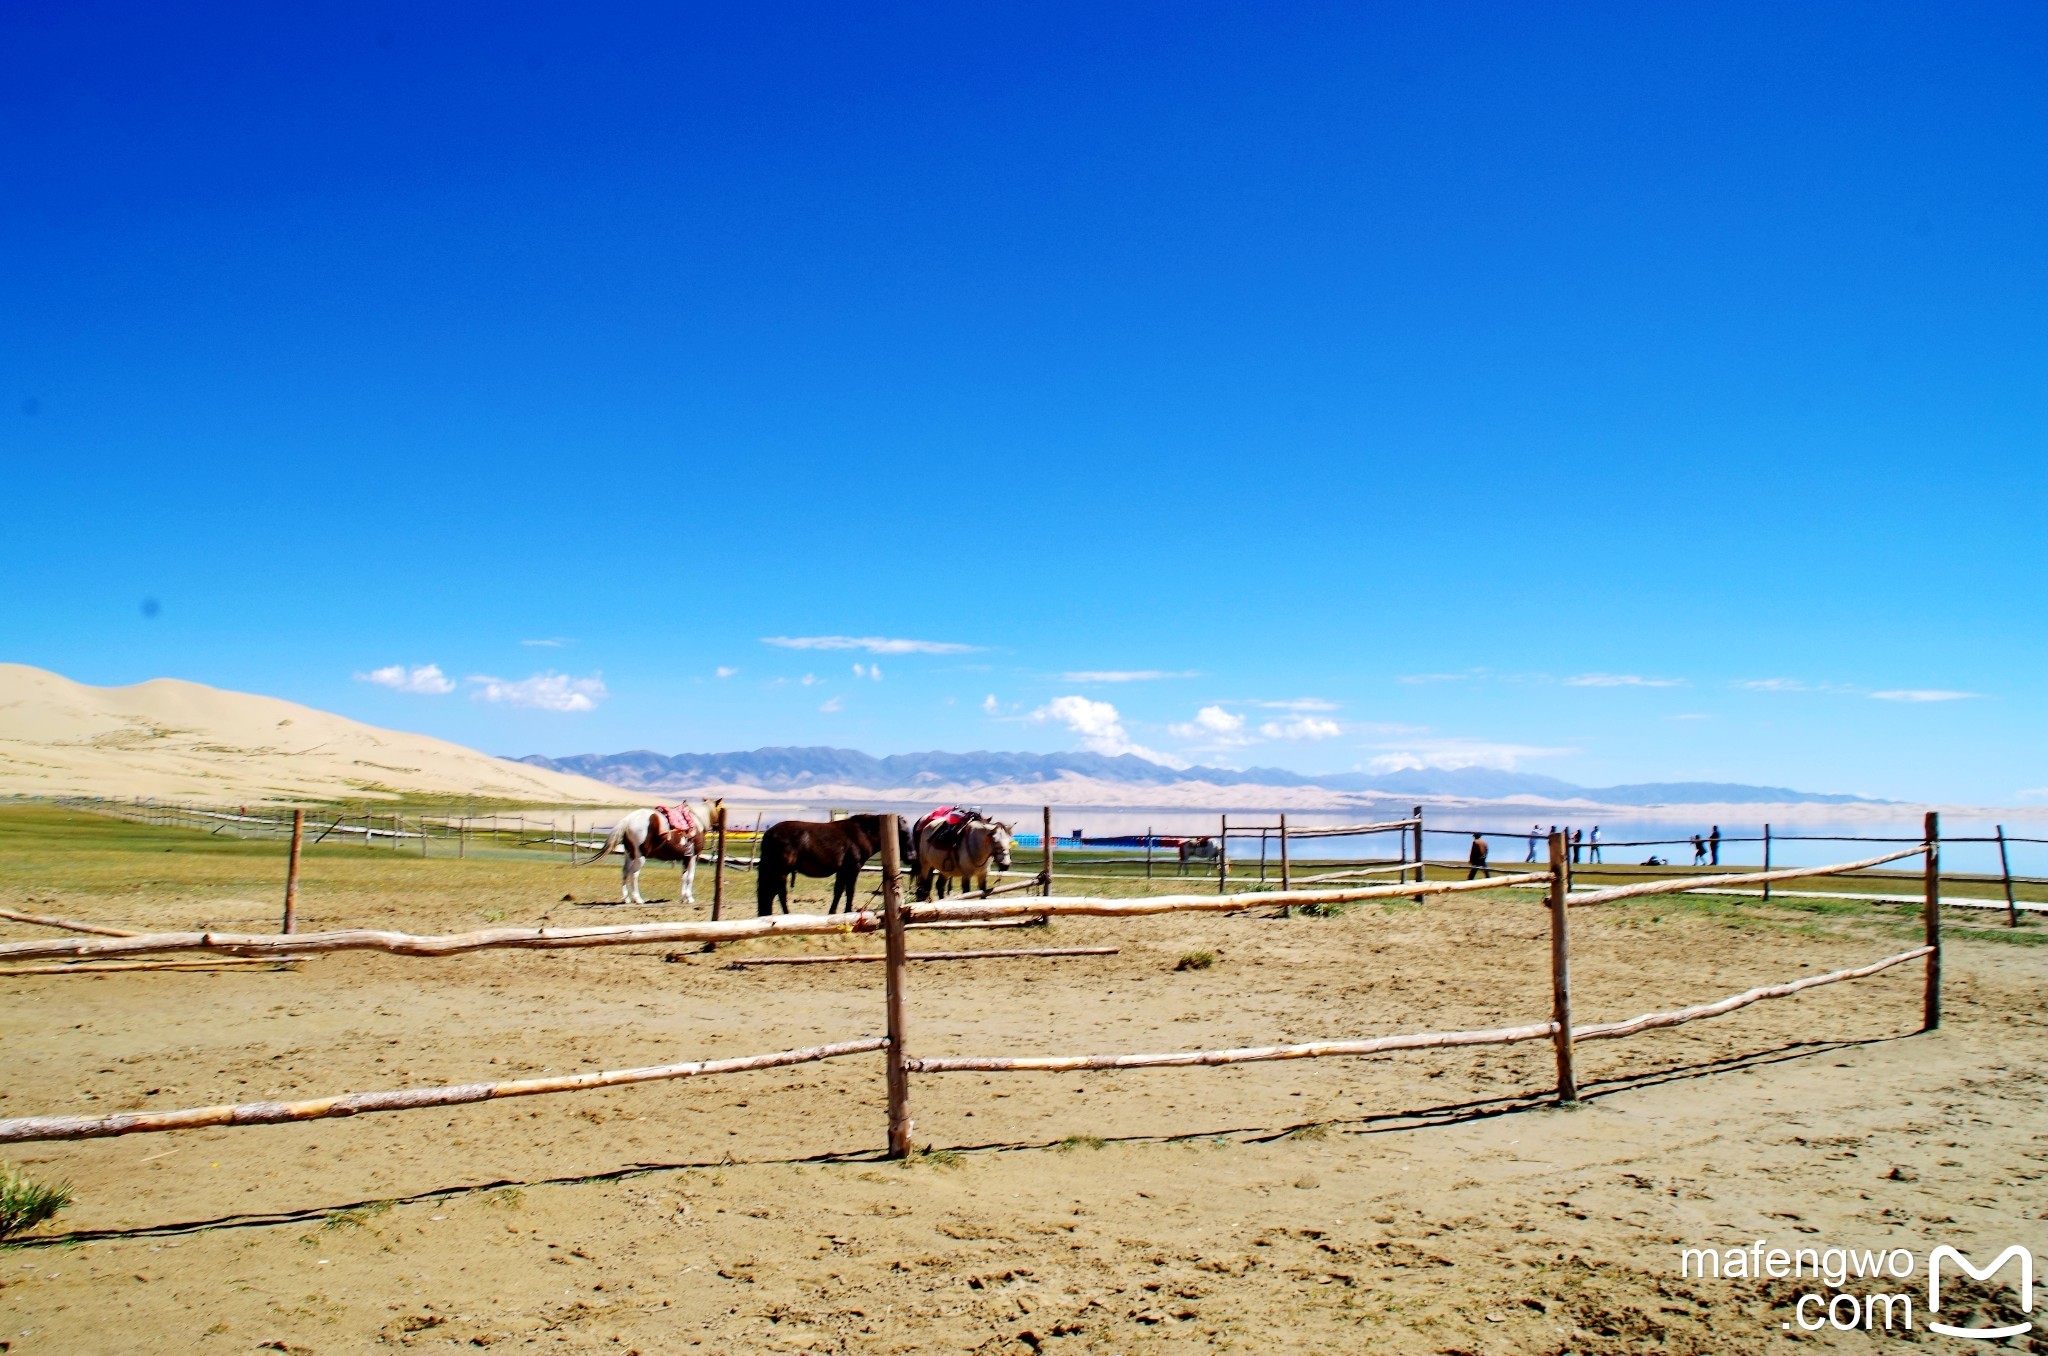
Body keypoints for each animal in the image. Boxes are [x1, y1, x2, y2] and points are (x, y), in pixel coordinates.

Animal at [581, 802, 716, 909]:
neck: (698, 821)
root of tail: (629, 819)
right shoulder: (693, 856)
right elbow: (690, 877)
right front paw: (689, 898)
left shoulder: (685, 858)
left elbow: (684, 876)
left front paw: (684, 898)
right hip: (640, 857)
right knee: (634, 874)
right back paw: (638, 899)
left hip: (630, 854)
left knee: (625, 872)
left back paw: (626, 898)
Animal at [753, 811, 913, 917]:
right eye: (904, 833)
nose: (911, 857)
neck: (861, 834)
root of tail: (769, 834)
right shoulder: (853, 868)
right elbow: (850, 890)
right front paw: (848, 911)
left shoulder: (842, 870)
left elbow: (839, 891)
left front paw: (833, 912)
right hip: (781, 871)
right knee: (779, 893)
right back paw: (786, 915)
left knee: (771, 893)